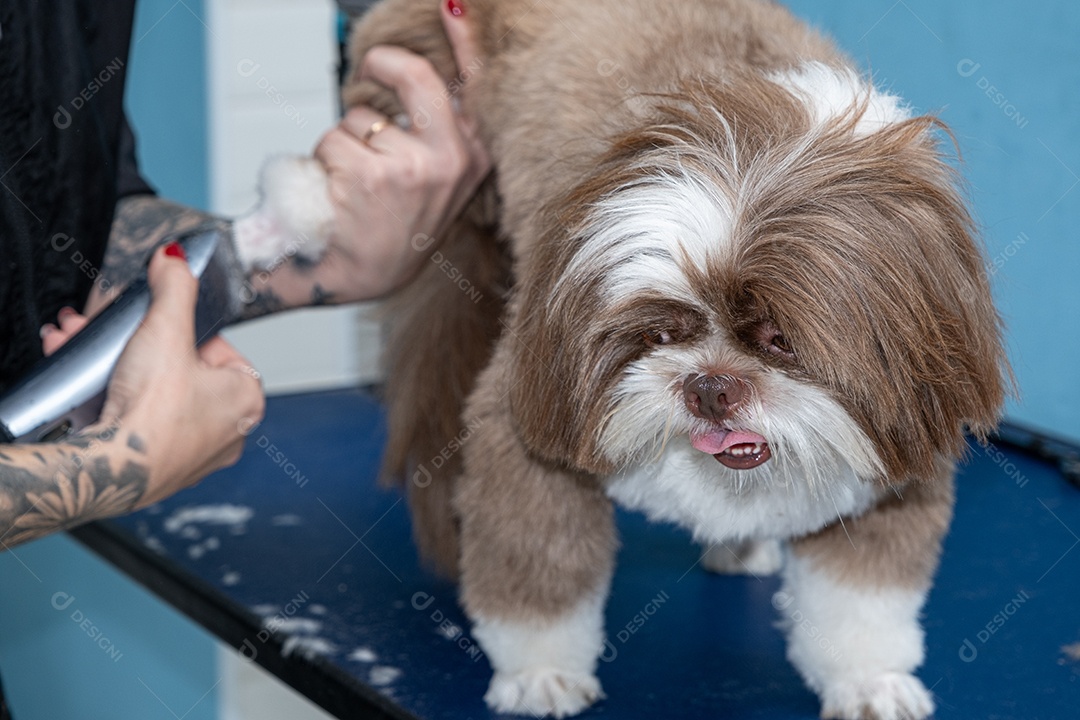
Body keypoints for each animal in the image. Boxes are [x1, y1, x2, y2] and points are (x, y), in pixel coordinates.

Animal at [232, 1, 1006, 720]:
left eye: (779, 339)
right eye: (658, 335)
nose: (710, 386)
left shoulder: (899, 460)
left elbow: (862, 605)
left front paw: (869, 681)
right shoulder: (527, 428)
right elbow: (538, 582)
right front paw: (541, 676)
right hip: (403, 89)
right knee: (317, 182)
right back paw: (275, 224)